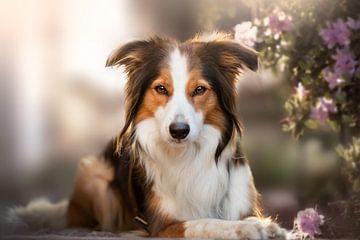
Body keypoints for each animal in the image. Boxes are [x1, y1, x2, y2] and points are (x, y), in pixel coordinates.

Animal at [9, 32, 288, 239]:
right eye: (161, 88)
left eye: (199, 90)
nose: (178, 131)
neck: (189, 156)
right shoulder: (162, 225)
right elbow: (205, 222)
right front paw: (249, 228)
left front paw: (260, 225)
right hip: (94, 174)